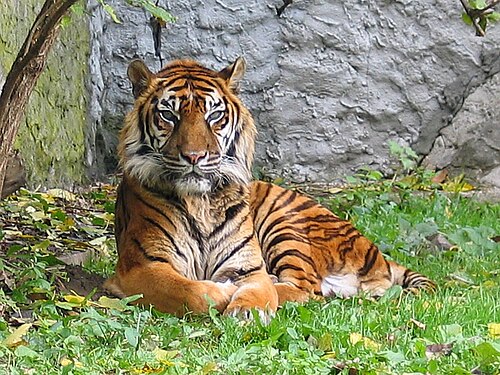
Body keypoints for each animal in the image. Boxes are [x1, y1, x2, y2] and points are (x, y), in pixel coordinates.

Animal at [104, 57, 434, 318]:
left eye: (214, 116)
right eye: (168, 115)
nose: (195, 156)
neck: (200, 202)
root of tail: (377, 255)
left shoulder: (248, 268)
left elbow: (259, 290)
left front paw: (248, 309)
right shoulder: (142, 267)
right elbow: (191, 291)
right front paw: (223, 292)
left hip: (284, 223)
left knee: (307, 287)